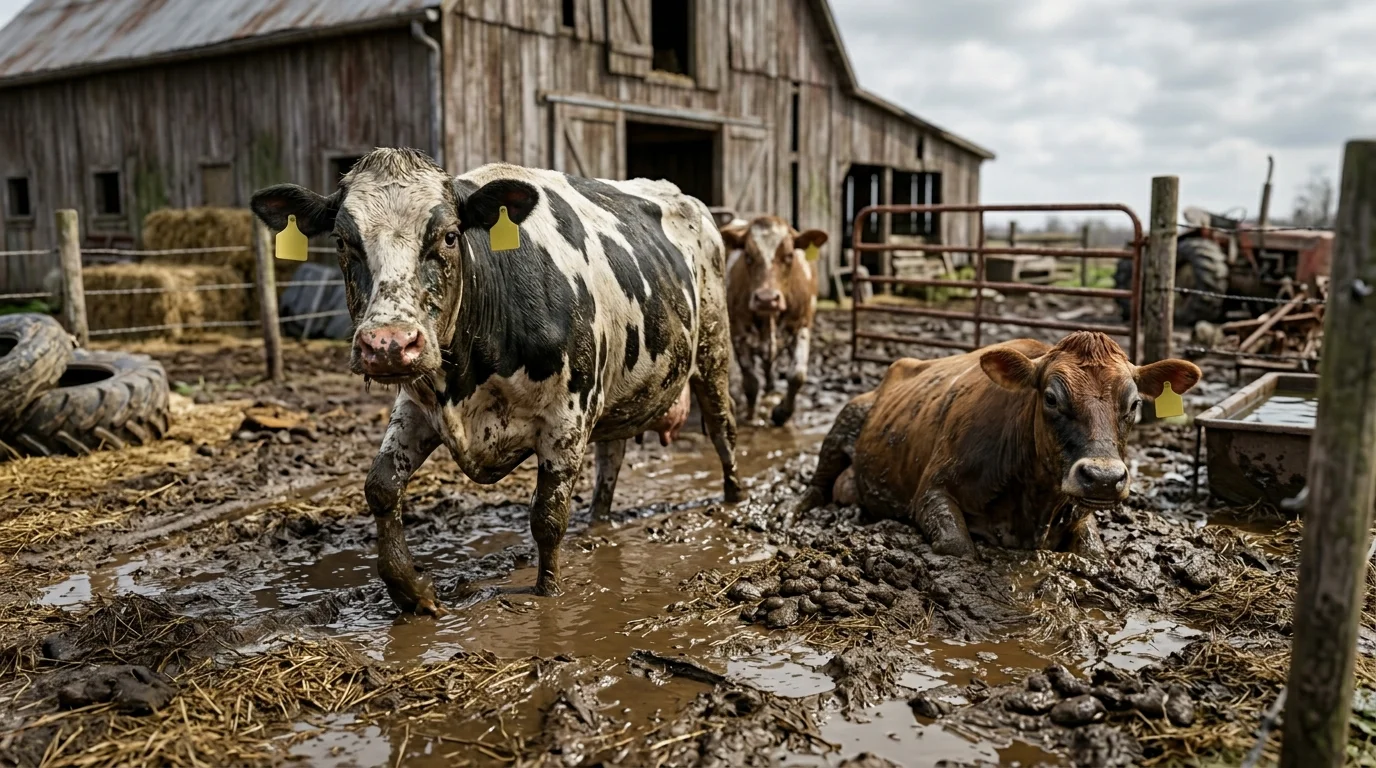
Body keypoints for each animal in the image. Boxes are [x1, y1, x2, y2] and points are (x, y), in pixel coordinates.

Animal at [249, 148, 742, 615]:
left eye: (449, 235)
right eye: (342, 240)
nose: (389, 344)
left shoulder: (568, 416)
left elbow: (547, 517)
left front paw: (549, 595)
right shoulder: (419, 403)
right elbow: (381, 486)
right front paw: (410, 591)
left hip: (713, 349)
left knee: (722, 429)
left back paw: (734, 499)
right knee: (612, 455)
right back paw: (598, 520)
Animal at [718, 216, 828, 426]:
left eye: (789, 256)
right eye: (748, 256)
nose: (766, 299)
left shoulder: (802, 326)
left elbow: (797, 376)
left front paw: (782, 413)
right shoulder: (739, 332)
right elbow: (751, 381)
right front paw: (752, 416)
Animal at [788, 332, 1201, 558]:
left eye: (1133, 404)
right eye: (1051, 398)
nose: (1102, 478)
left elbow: (1094, 551)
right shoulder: (930, 491)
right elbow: (958, 546)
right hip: (844, 423)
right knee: (817, 485)